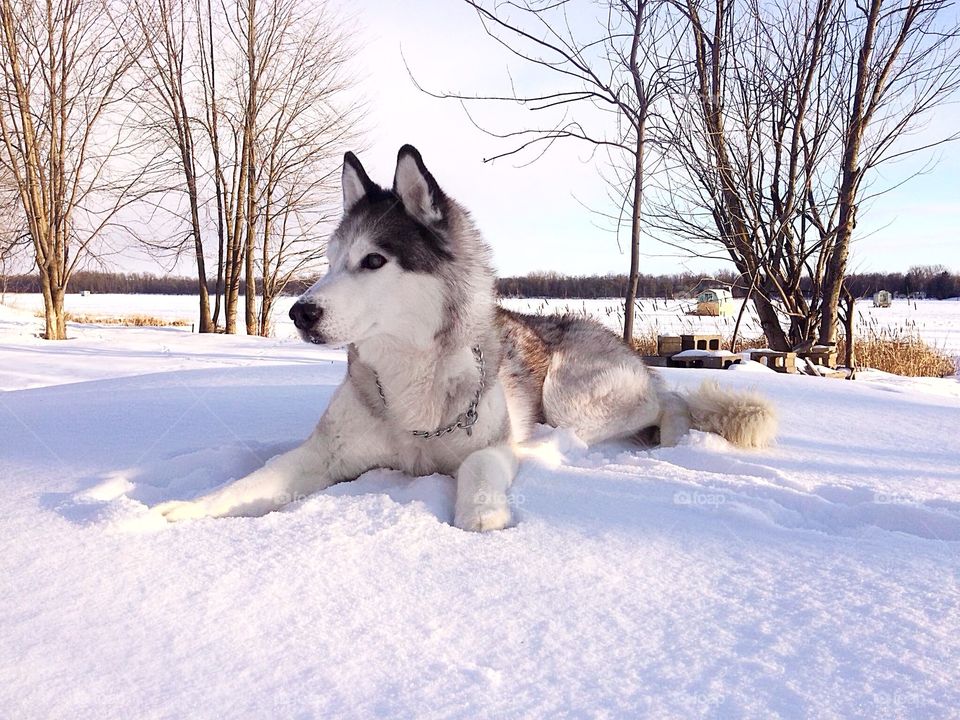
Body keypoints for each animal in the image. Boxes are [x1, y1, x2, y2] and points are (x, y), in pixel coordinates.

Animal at [156, 145, 772, 528]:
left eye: (373, 260)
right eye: (330, 262)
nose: (300, 312)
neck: (410, 385)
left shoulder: (489, 443)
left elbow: (480, 465)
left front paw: (481, 514)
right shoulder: (324, 453)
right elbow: (258, 478)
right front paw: (180, 510)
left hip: (571, 396)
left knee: (665, 402)